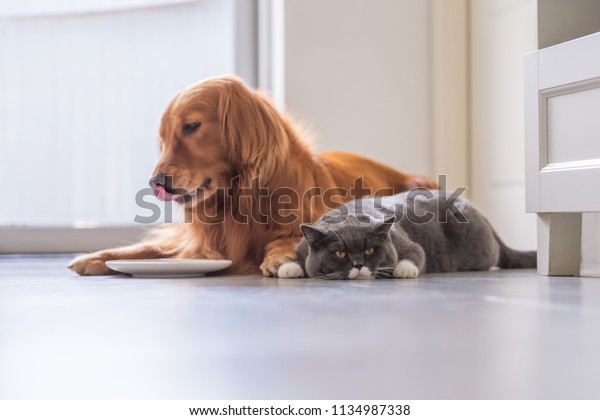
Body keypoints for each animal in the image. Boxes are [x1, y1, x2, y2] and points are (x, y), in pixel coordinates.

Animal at [278, 190, 536, 278]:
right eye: (340, 253)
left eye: (370, 250)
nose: (359, 265)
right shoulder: (303, 246)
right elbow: (297, 258)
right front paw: (289, 268)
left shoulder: (403, 241)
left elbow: (416, 253)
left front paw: (404, 270)